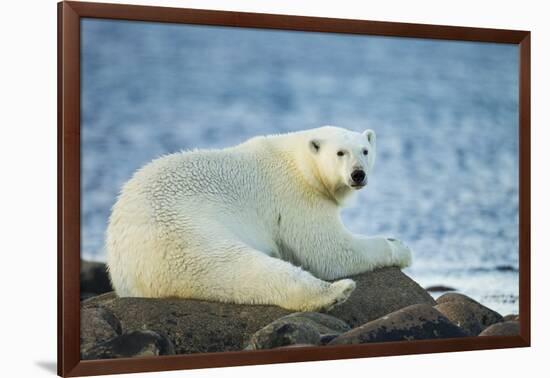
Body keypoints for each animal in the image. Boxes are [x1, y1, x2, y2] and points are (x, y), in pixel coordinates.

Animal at [105, 125, 412, 312]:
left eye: (365, 150)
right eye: (340, 153)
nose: (358, 174)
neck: (300, 163)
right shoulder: (296, 197)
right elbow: (329, 251)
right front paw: (400, 247)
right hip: (181, 233)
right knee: (242, 266)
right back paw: (336, 291)